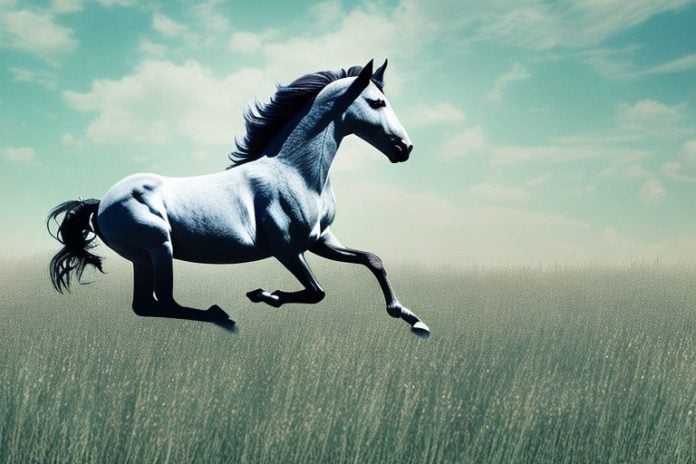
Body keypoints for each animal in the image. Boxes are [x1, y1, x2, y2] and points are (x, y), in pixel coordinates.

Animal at [47, 59, 430, 337]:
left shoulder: (320, 240)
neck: (294, 173)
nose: (405, 148)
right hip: (159, 247)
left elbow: (373, 260)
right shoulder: (286, 248)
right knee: (165, 301)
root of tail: (100, 204)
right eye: (377, 102)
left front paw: (411, 317)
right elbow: (316, 291)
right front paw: (263, 295)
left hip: (142, 257)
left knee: (146, 306)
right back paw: (224, 318)